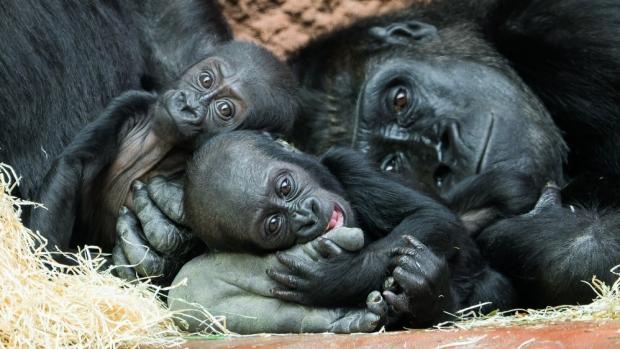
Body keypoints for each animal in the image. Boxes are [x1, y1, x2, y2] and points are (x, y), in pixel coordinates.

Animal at [172, 130, 516, 326]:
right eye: (273, 224)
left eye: (285, 186)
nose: (307, 215)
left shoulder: (350, 162)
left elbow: (431, 216)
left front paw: (338, 277)